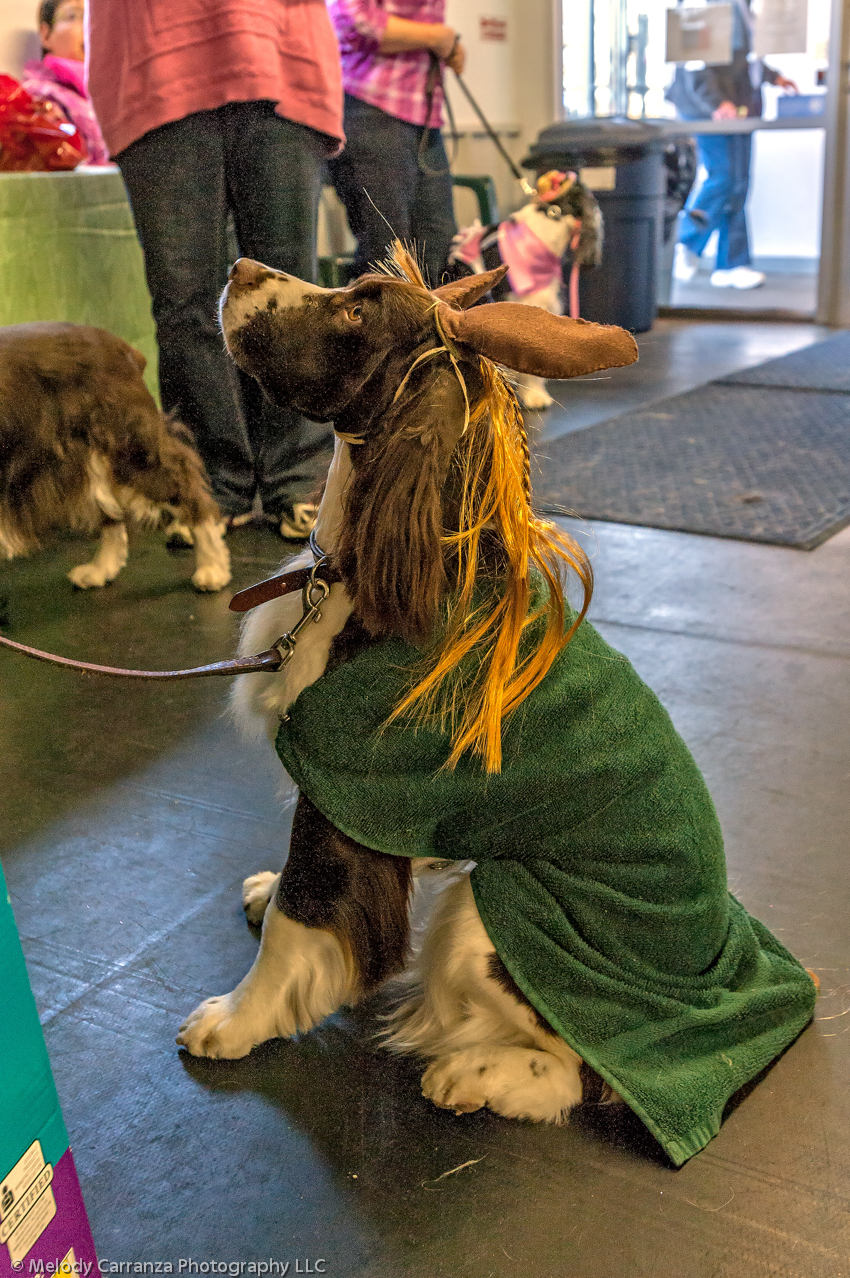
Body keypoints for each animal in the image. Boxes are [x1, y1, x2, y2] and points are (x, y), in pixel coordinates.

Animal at [0, 324, 230, 592]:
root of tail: (121, 347)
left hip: (130, 445)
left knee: (185, 488)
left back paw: (212, 569)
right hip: (93, 457)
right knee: (110, 511)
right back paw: (100, 569)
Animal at [173, 244, 818, 1165]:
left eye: (358, 309)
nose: (241, 265)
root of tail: (729, 972)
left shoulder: (344, 791)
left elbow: (303, 918)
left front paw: (234, 1019)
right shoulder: (382, 806)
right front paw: (265, 889)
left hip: (501, 920)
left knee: (577, 1070)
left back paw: (475, 1077)